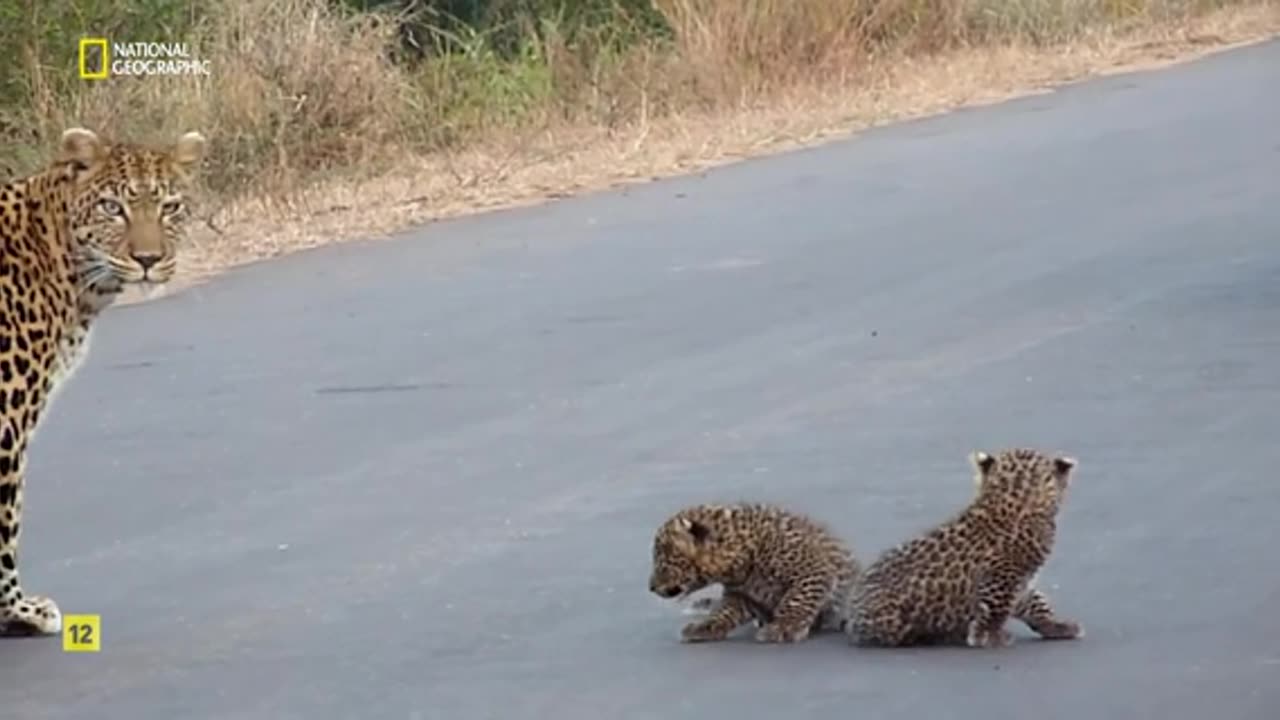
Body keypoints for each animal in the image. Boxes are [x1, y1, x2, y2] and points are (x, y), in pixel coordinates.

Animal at [0, 127, 204, 632]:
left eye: (170, 207)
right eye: (113, 207)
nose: (149, 259)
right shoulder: (7, 417)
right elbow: (6, 518)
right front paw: (19, 612)